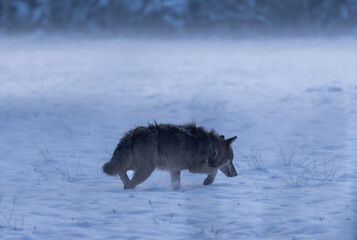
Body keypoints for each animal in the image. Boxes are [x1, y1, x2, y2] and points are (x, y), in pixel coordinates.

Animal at [103, 124, 236, 189]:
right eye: (231, 160)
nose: (236, 174)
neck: (212, 147)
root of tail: (132, 134)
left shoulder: (175, 169)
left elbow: (176, 185)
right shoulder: (194, 168)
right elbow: (214, 171)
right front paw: (208, 181)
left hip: (134, 166)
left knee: (121, 173)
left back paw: (126, 183)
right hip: (146, 170)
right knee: (130, 183)